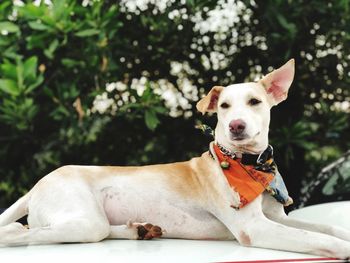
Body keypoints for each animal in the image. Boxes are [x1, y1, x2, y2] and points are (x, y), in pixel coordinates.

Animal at [0, 59, 350, 260]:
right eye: (224, 106)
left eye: (255, 102)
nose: (236, 126)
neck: (251, 164)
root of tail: (37, 184)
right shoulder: (256, 228)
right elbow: (318, 238)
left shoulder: (278, 218)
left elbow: (325, 228)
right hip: (85, 221)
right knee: (18, 233)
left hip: (91, 221)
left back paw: (138, 230)